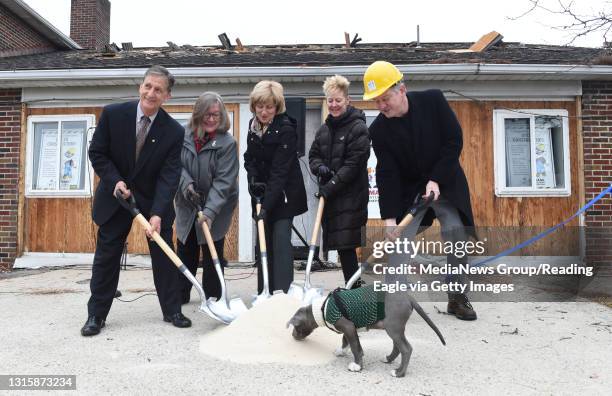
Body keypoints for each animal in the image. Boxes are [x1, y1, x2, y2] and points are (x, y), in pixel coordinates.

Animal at [286, 284, 444, 378]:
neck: (321, 309)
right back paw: (388, 359)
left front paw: (357, 366)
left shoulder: (348, 326)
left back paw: (399, 372)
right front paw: (342, 351)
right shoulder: (350, 328)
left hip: (393, 328)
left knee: (406, 349)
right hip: (395, 328)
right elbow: (345, 341)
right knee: (397, 346)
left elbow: (356, 348)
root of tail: (408, 297)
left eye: (296, 326)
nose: (293, 336)